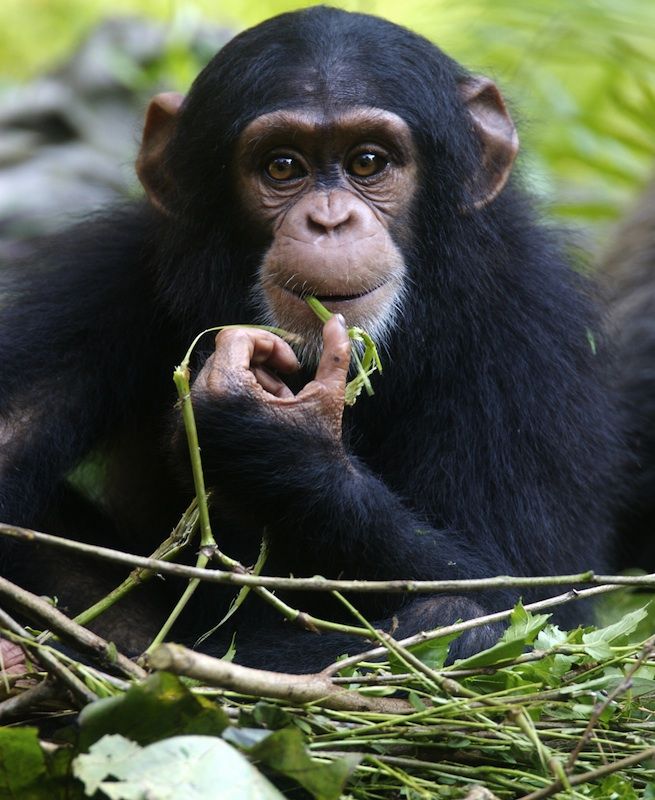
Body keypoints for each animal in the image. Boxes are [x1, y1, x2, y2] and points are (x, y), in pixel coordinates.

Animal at [0, 7, 624, 668]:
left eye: (369, 162)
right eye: (283, 166)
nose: (329, 219)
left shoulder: (533, 335)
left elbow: (533, 597)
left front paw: (272, 441)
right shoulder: (101, 280)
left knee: (459, 617)